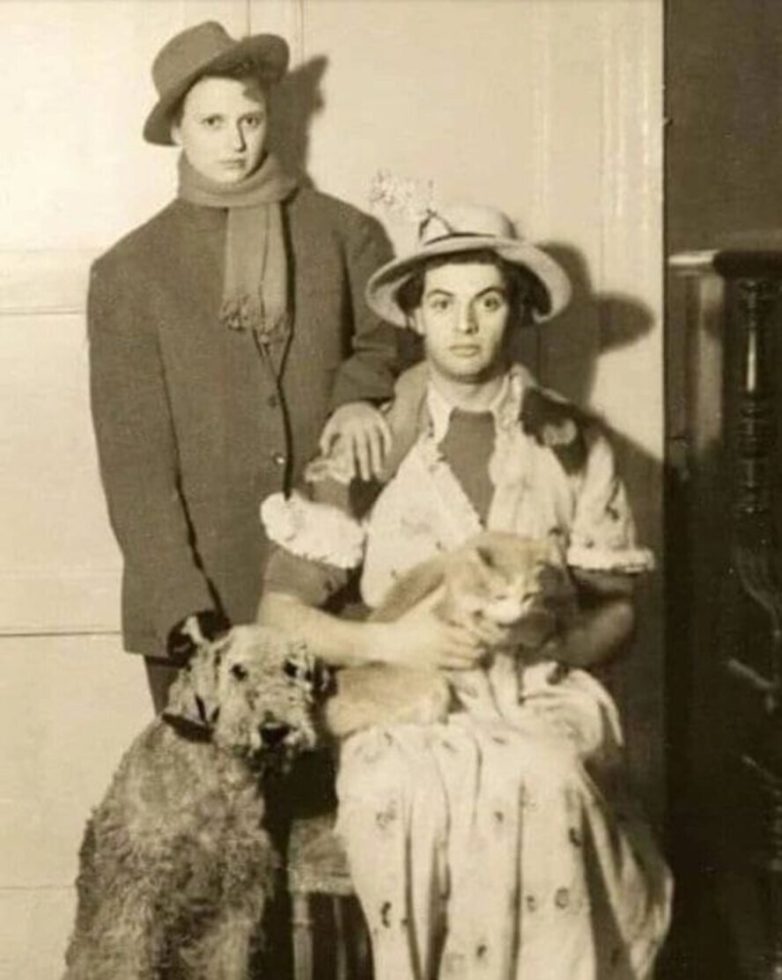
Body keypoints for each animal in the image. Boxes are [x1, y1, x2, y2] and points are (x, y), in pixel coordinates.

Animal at [63, 625, 322, 980]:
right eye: (238, 670)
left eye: (291, 668)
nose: (274, 730)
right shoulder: (137, 897)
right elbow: (124, 960)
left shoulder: (235, 902)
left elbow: (227, 964)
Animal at [322, 531, 577, 738]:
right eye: (500, 596)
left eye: (527, 596)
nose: (517, 614)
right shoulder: (460, 655)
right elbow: (483, 695)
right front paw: (494, 723)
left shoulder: (504, 653)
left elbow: (506, 689)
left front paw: (516, 717)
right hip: (432, 687)